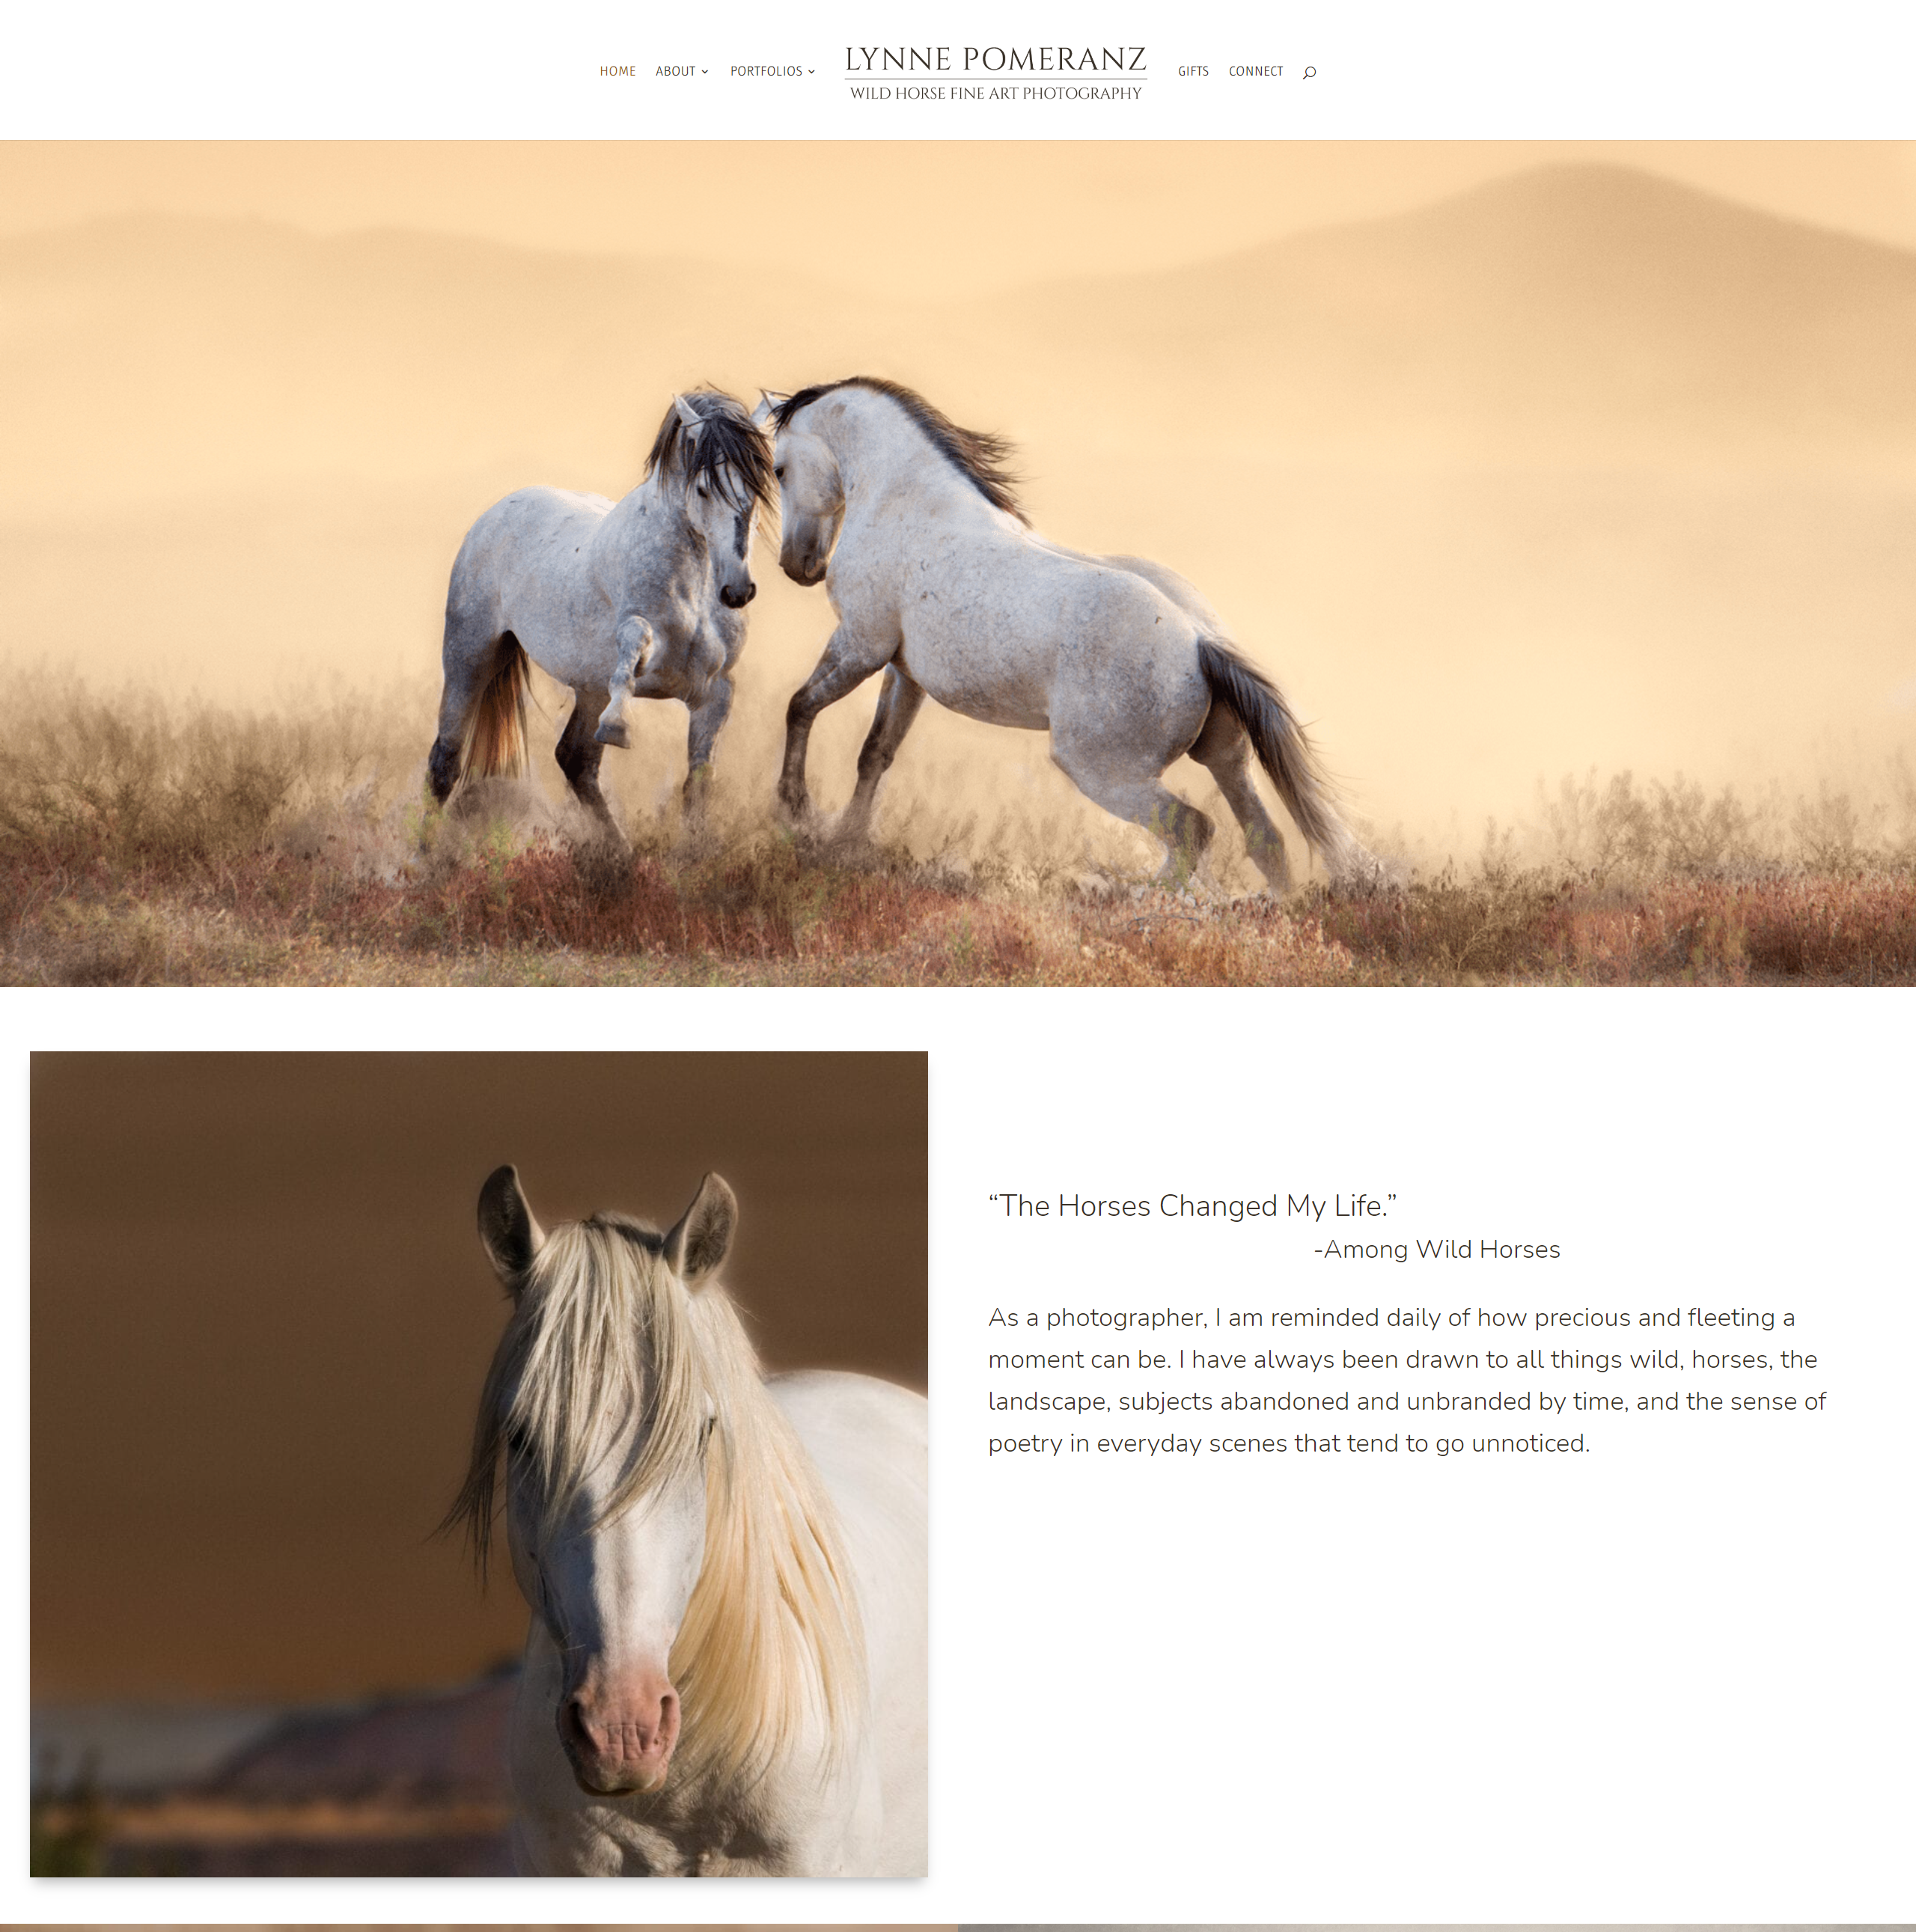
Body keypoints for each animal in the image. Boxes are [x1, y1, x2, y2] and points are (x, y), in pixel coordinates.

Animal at [428, 390, 776, 835]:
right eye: (702, 489)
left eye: (761, 485)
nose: (737, 590)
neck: (692, 592)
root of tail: (495, 513)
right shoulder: (639, 646)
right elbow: (635, 641)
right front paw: (618, 725)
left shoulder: (714, 694)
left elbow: (698, 782)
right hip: (468, 661)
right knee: (445, 762)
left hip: (587, 687)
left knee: (575, 760)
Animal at [756, 377, 1374, 889]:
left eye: (779, 469)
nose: (799, 567)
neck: (905, 502)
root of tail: (1201, 643)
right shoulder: (902, 670)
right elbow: (875, 753)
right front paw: (845, 842)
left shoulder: (860, 645)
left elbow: (799, 706)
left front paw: (795, 811)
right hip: (1225, 759)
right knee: (1264, 840)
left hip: (1102, 770)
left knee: (1192, 831)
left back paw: (1129, 896)